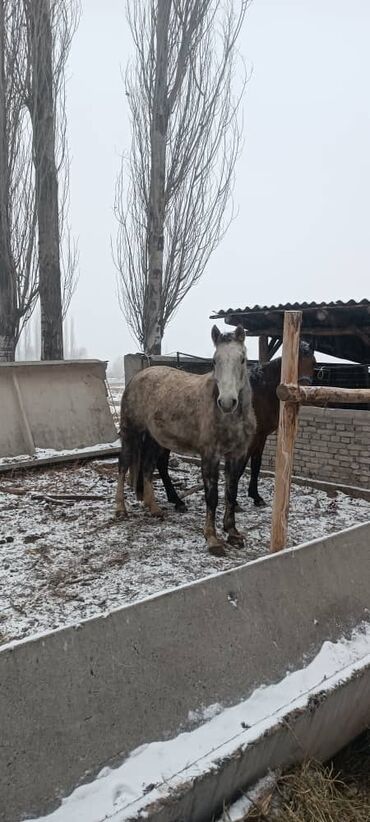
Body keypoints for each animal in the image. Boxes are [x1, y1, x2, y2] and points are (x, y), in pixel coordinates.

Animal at [117, 326, 256, 556]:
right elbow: (212, 496)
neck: (229, 418)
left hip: (155, 440)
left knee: (147, 468)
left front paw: (233, 533)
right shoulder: (210, 456)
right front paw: (212, 539)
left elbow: (231, 492)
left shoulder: (237, 455)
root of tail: (139, 375)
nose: (227, 402)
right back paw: (120, 509)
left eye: (242, 359)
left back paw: (154, 509)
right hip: (131, 433)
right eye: (214, 361)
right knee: (123, 465)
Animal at [145, 342, 316, 508]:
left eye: (313, 363)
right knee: (161, 464)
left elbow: (256, 464)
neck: (258, 394)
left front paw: (255, 497)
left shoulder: (261, 436)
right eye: (294, 363)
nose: (303, 392)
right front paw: (234, 502)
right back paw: (176, 500)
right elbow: (241, 468)